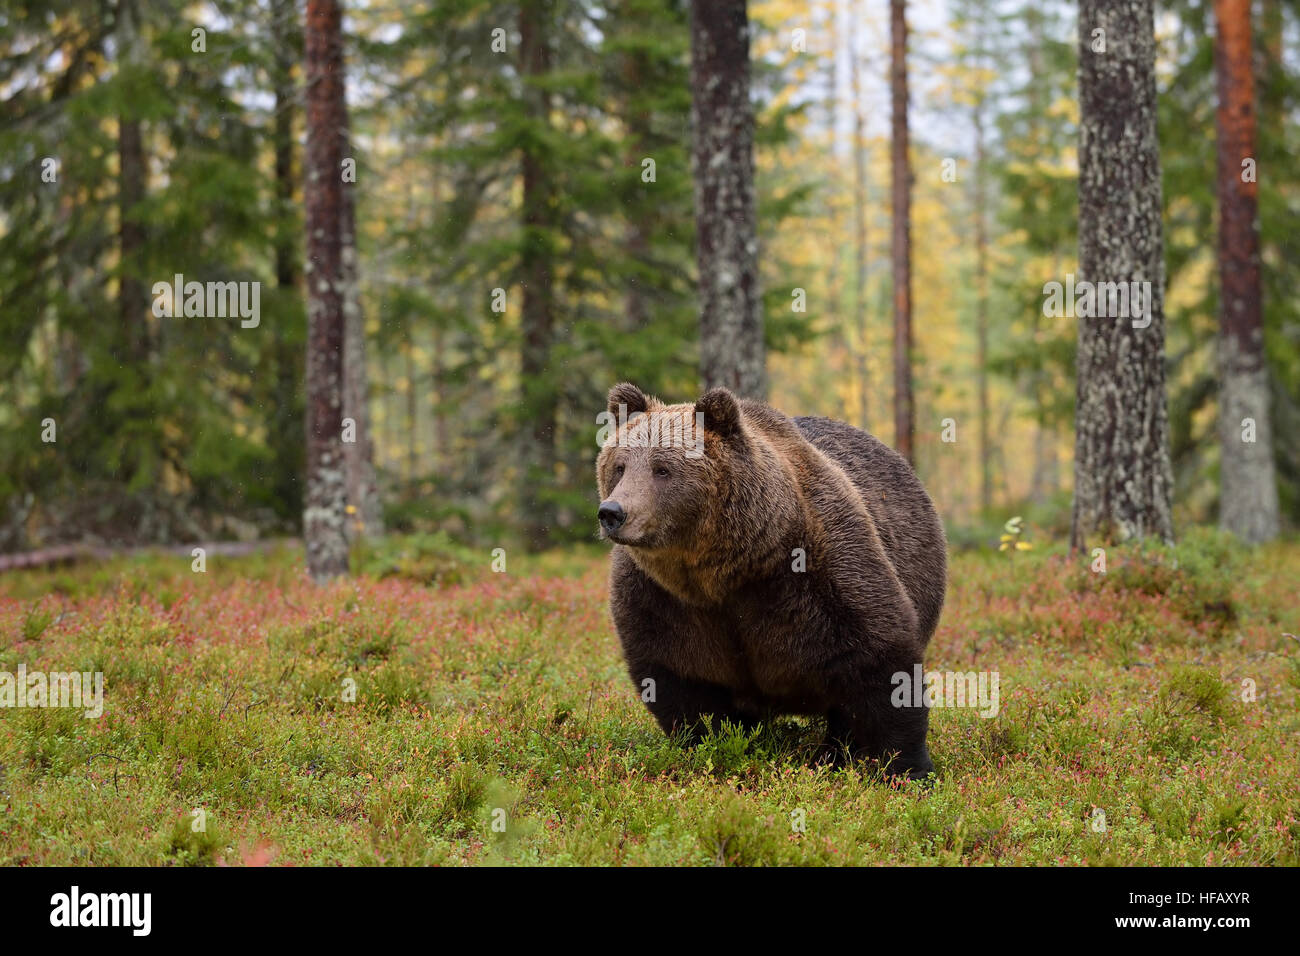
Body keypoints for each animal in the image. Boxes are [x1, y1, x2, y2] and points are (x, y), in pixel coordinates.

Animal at [596, 382, 947, 780]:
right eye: (620, 465)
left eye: (662, 469)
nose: (612, 513)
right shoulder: (663, 598)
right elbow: (681, 676)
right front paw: (710, 744)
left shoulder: (817, 573)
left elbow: (877, 659)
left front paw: (907, 768)